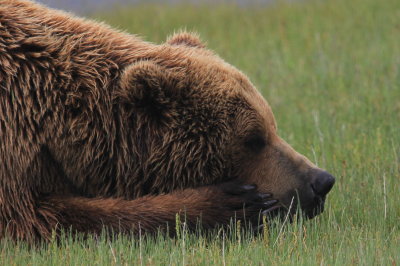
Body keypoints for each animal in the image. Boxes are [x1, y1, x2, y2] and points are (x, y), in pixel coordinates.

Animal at [0, 0, 334, 242]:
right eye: (253, 139)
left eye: (272, 126)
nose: (321, 181)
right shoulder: (13, 141)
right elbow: (41, 217)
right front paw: (234, 205)